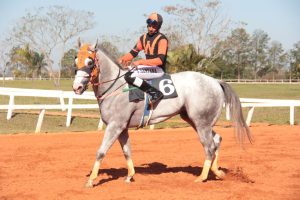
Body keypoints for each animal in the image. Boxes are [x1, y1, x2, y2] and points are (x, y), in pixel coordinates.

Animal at [73, 40, 253, 188]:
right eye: (76, 61)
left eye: (90, 62)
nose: (77, 88)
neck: (116, 86)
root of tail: (215, 81)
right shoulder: (122, 128)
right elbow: (127, 151)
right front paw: (130, 176)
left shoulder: (115, 125)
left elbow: (101, 151)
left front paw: (91, 180)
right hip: (197, 121)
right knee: (216, 140)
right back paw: (217, 172)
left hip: (201, 122)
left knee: (209, 147)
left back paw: (202, 177)